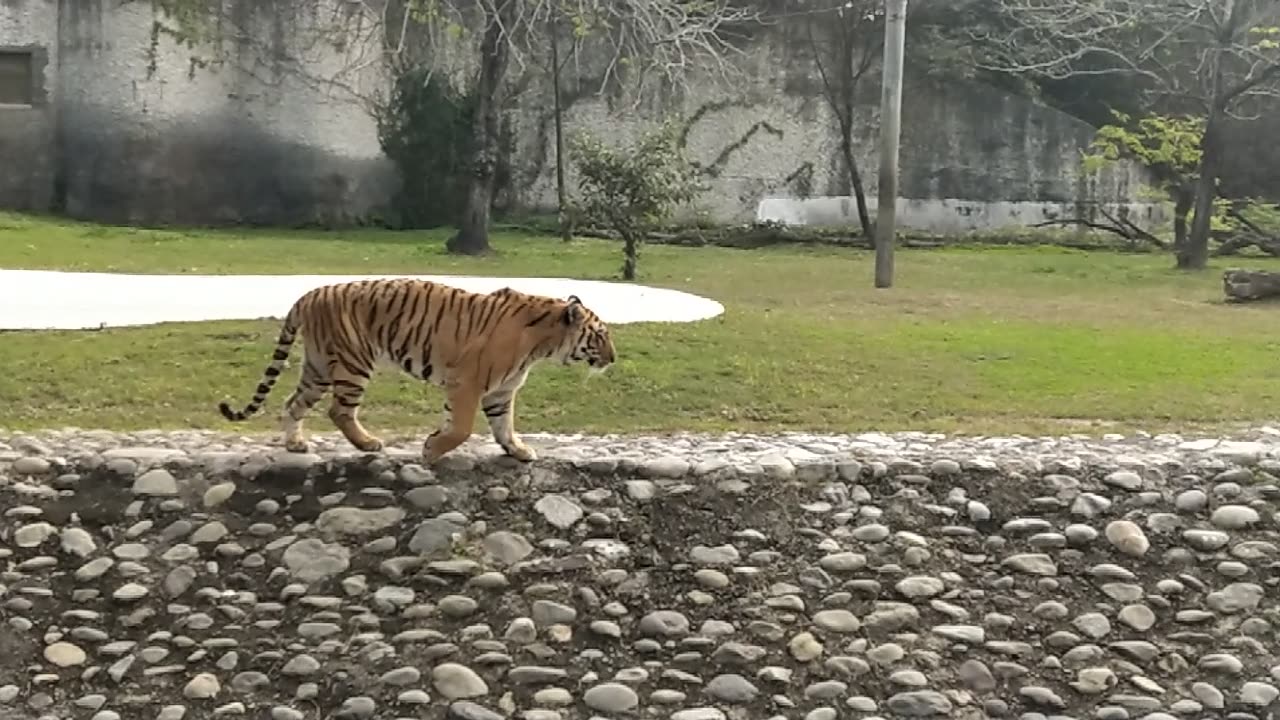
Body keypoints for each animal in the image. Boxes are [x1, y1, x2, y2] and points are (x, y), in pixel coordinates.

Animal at [217, 278, 616, 461]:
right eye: (600, 335)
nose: (613, 358)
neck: (542, 344)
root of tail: (308, 294)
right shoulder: (467, 383)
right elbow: (463, 428)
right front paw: (431, 449)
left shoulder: (501, 392)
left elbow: (503, 426)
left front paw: (518, 451)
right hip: (353, 362)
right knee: (339, 410)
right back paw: (368, 443)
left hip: (317, 368)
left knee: (292, 403)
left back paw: (296, 443)